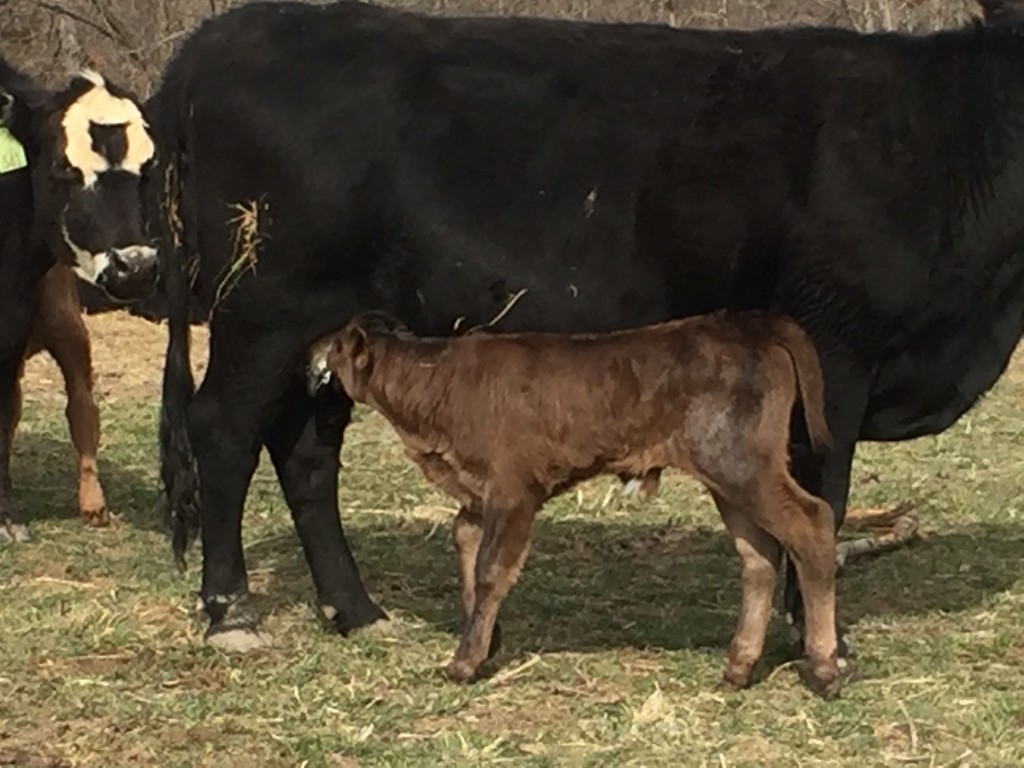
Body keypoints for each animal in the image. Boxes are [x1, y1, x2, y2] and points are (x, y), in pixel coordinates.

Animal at [0, 56, 158, 543]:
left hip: (66, 323)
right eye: (63, 168)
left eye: (147, 168)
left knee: (81, 407)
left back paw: (93, 503)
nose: (135, 267)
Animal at [314, 309, 841, 697]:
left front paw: (464, 662)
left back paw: (823, 667)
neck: (437, 384)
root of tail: (744, 322)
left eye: (338, 346)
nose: (314, 353)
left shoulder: (512, 491)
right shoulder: (477, 495)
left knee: (812, 525)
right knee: (759, 555)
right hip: (728, 479)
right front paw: (486, 639)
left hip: (742, 464)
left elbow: (490, 569)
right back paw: (738, 667)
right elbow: (464, 541)